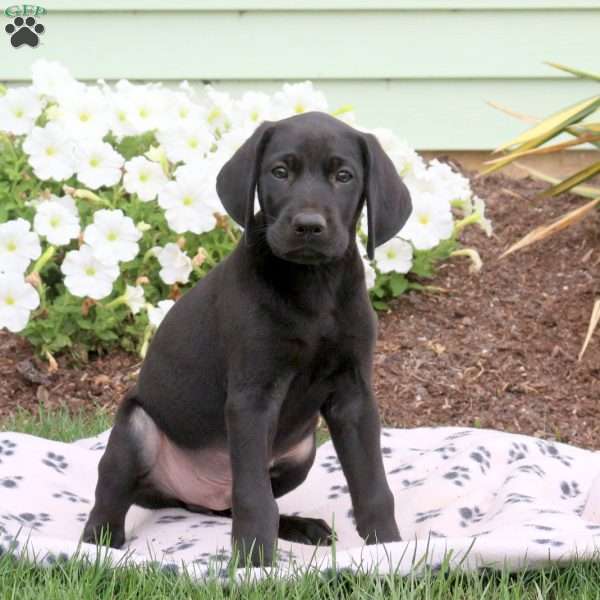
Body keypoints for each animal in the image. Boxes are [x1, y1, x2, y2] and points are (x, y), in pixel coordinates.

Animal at [82, 110, 412, 564]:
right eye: (279, 172)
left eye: (344, 176)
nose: (308, 227)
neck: (313, 286)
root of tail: (187, 495)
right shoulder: (252, 396)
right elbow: (254, 497)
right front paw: (255, 563)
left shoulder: (354, 394)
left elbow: (373, 485)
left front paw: (388, 549)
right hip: (137, 429)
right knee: (110, 497)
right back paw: (100, 548)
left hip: (301, 453)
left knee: (229, 505)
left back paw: (299, 526)